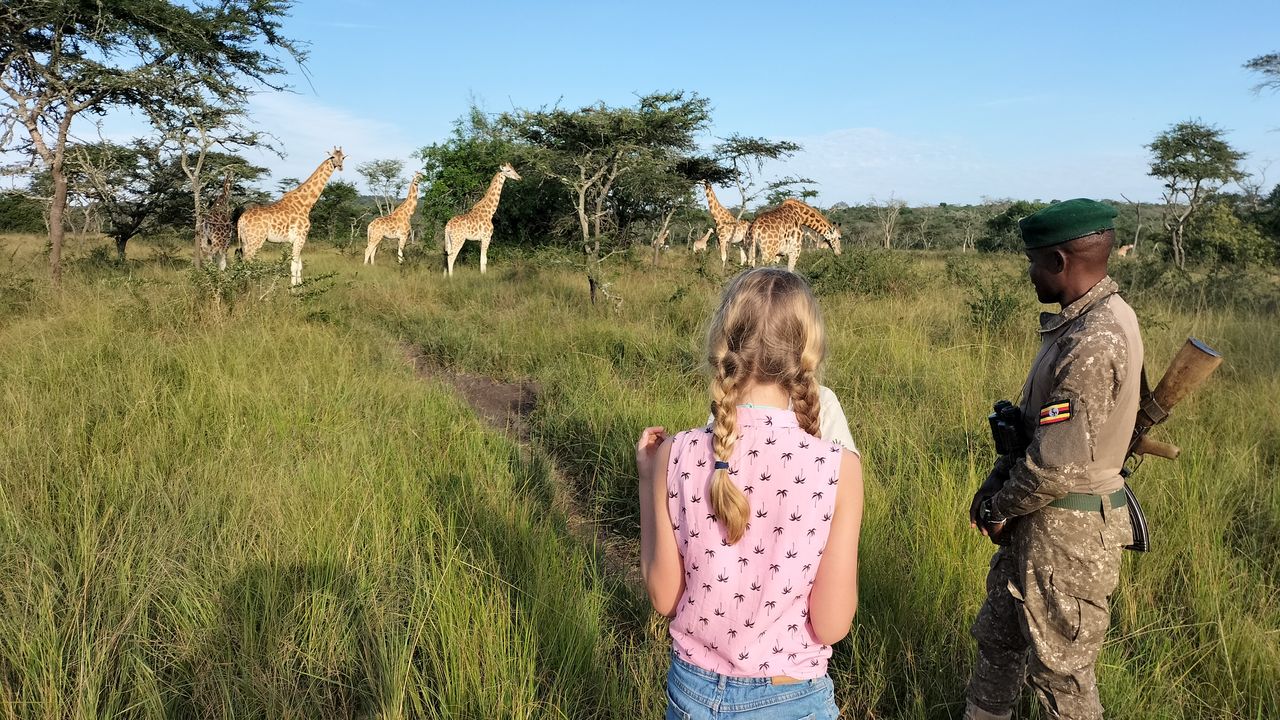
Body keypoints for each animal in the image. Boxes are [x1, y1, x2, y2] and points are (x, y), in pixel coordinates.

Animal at [236, 146, 345, 285]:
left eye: (343, 157)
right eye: (332, 157)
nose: (340, 166)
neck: (305, 204)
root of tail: (241, 220)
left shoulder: (295, 240)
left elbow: (299, 265)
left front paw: (300, 285)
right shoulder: (301, 237)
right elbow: (294, 265)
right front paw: (293, 287)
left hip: (245, 240)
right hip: (255, 240)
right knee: (247, 261)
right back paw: (249, 286)